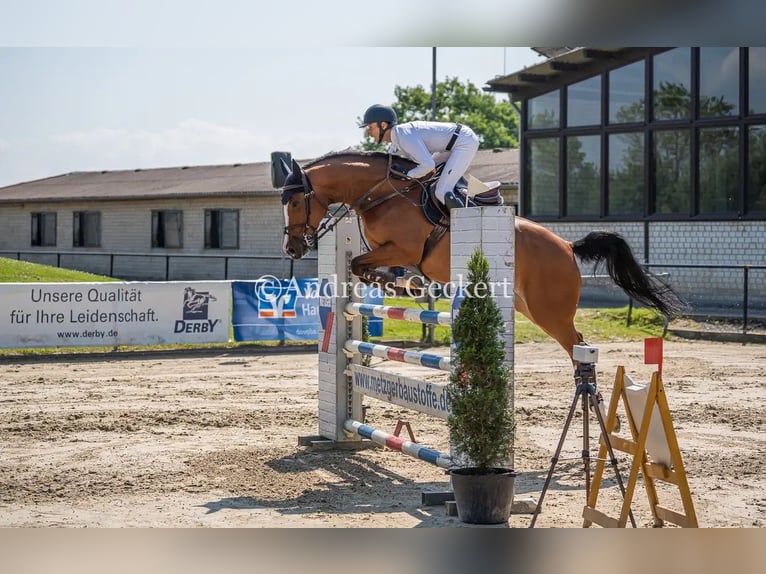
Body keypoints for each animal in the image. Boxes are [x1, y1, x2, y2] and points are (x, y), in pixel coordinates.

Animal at [280, 151, 688, 362]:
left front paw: (408, 286)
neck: (381, 193)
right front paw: (403, 285)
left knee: (579, 347)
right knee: (577, 343)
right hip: (528, 307)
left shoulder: (404, 248)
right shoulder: (383, 249)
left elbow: (361, 265)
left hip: (550, 311)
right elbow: (359, 265)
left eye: (296, 202)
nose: (292, 249)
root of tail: (567, 247)